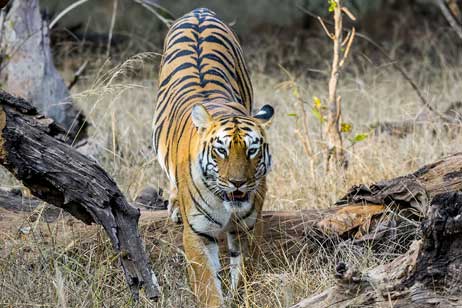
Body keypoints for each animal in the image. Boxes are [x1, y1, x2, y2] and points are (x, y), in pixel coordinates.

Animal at [152, 7, 274, 308]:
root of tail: (200, 11)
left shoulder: (247, 228)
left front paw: (239, 296)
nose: (238, 183)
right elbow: (208, 284)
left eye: (252, 150)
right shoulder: (198, 234)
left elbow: (242, 273)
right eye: (221, 150)